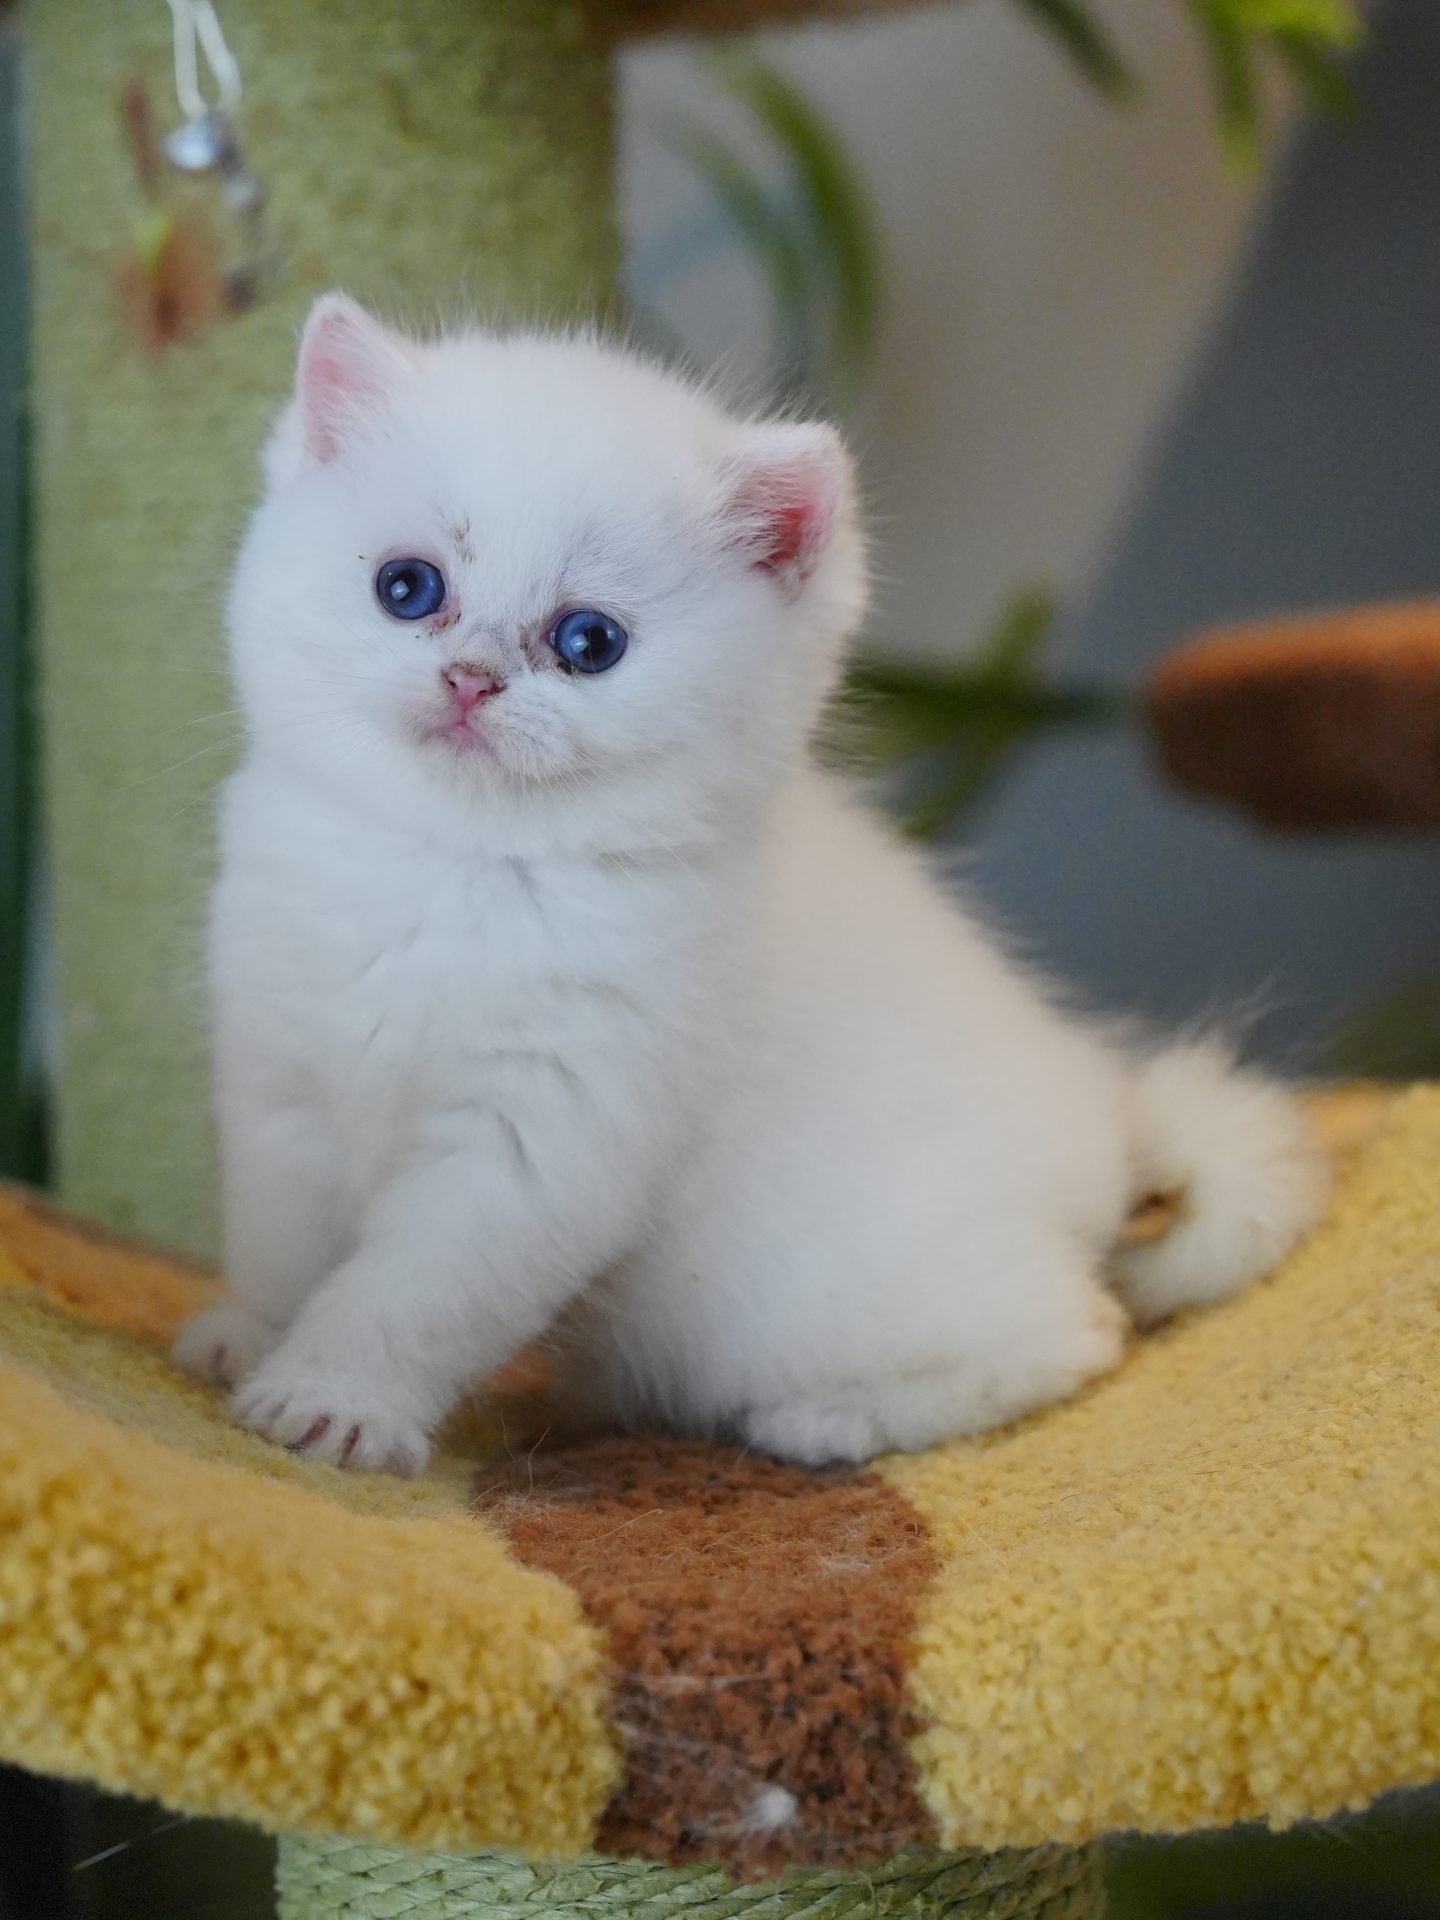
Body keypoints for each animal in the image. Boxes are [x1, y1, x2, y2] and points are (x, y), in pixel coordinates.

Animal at [171, 295, 1328, 1466]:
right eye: (406, 588)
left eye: (589, 642)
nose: (469, 679)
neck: (455, 868)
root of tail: (1108, 1120)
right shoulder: (280, 1082)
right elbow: (283, 1245)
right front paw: (250, 1342)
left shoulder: (541, 1141)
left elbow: (412, 1295)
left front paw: (334, 1403)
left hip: (801, 1302)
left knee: (1078, 1332)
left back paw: (824, 1423)